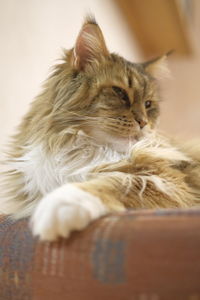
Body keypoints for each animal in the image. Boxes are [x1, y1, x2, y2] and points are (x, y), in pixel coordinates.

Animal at [1, 16, 200, 241]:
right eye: (120, 93)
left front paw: (62, 203)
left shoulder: (170, 181)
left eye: (148, 105)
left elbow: (114, 183)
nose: (143, 122)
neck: (84, 148)